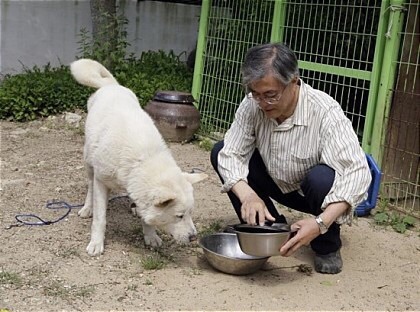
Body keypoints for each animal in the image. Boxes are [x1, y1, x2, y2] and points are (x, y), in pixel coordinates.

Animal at [71, 59, 208, 256]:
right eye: (179, 216)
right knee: (90, 187)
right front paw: (96, 243)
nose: (193, 238)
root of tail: (112, 85)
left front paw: (150, 236)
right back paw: (87, 208)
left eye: (190, 213)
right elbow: (100, 219)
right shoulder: (101, 181)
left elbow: (146, 215)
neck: (142, 159)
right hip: (89, 162)